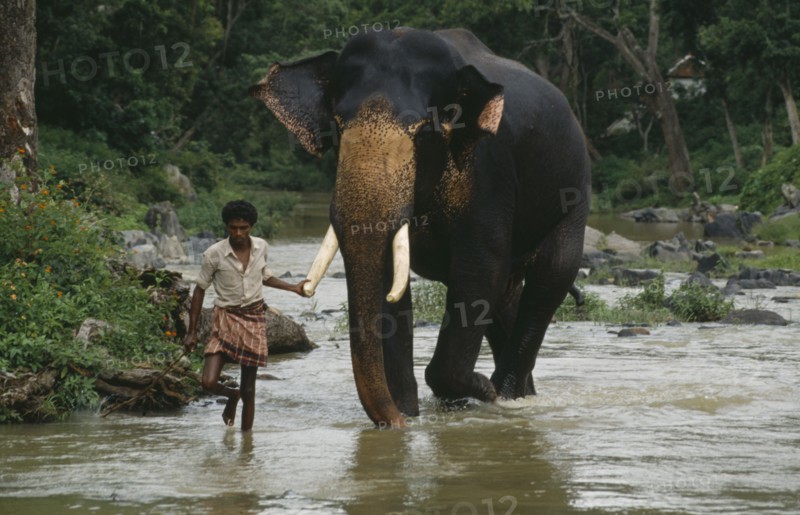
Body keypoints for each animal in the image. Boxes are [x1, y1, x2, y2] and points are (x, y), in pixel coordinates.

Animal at [251, 27, 590, 428]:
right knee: (507, 294)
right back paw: (513, 394)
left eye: (423, 132)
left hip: (573, 196)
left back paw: (505, 395)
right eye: (337, 126)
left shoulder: (489, 174)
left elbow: (479, 271)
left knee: (549, 277)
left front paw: (478, 391)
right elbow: (390, 283)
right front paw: (409, 416)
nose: (391, 422)